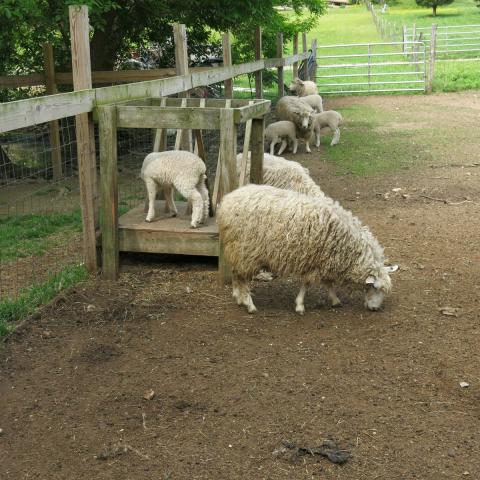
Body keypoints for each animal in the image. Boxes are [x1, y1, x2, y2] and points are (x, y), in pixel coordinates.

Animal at [218, 185, 398, 316]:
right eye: (374, 287)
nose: (375, 309)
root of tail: (227, 200)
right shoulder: (312, 261)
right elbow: (307, 284)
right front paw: (300, 306)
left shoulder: (323, 261)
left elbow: (327, 283)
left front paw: (335, 300)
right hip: (245, 251)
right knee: (242, 277)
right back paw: (249, 304)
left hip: (236, 250)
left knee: (235, 273)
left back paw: (238, 297)